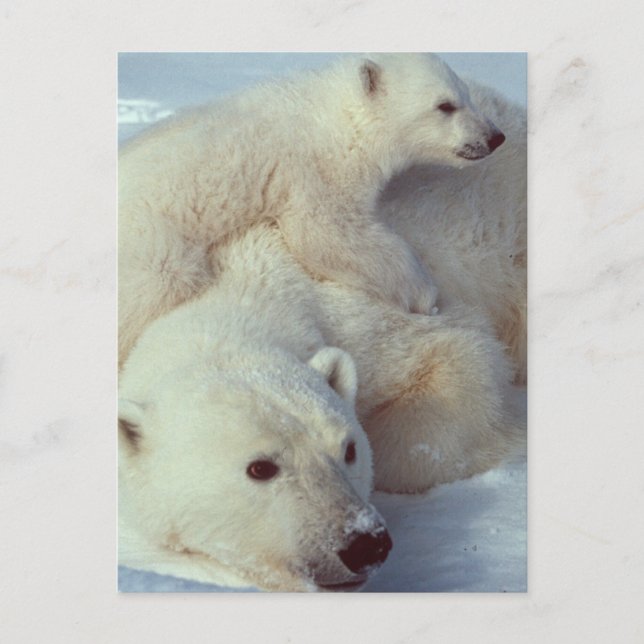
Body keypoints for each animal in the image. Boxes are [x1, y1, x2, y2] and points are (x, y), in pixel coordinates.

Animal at [118, 53, 507, 365]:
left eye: (466, 94)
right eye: (445, 105)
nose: (495, 137)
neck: (336, 116)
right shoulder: (315, 169)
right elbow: (326, 234)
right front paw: (425, 295)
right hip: (150, 238)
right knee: (162, 278)